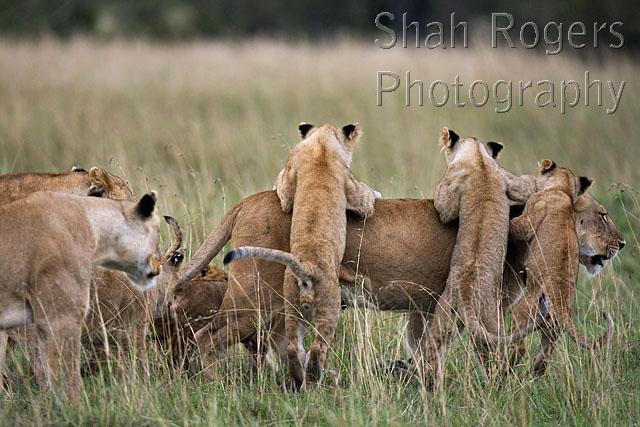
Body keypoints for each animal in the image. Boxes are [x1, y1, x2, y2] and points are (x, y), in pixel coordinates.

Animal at [219, 122, 378, 389]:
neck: (321, 144)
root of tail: (307, 267)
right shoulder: (350, 183)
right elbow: (366, 200)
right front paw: (376, 194)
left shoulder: (288, 178)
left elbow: (281, 189)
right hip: (329, 307)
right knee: (317, 348)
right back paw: (314, 378)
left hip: (291, 305)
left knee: (292, 346)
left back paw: (299, 379)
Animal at [508, 160, 614, 375]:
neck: (561, 189)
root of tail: (562, 307)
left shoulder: (532, 213)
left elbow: (516, 225)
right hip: (552, 332)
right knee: (540, 362)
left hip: (522, 312)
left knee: (516, 345)